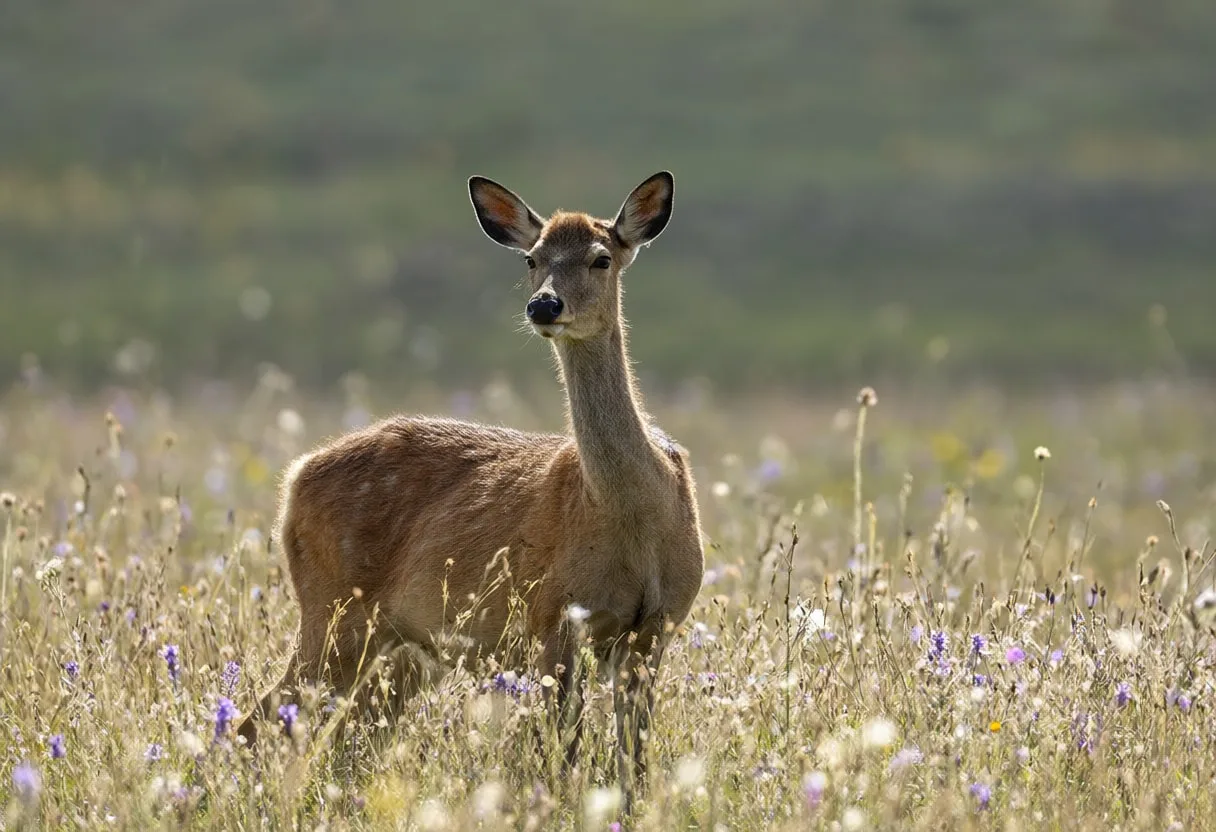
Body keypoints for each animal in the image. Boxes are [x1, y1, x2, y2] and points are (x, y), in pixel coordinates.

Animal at [237, 171, 704, 807]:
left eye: (602, 257)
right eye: (532, 259)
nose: (544, 304)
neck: (637, 511)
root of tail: (295, 476)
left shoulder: (657, 627)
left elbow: (633, 761)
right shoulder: (551, 615)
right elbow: (563, 753)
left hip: (399, 650)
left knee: (339, 736)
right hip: (332, 611)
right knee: (261, 722)